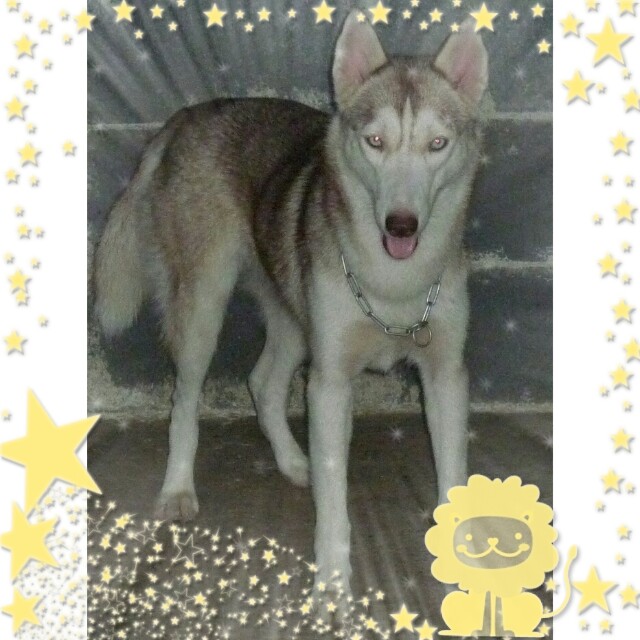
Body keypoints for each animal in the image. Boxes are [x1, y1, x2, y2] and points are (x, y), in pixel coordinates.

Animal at [95, 11, 488, 593]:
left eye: (437, 143)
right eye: (375, 141)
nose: (401, 224)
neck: (393, 284)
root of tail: (190, 114)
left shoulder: (444, 376)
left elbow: (453, 475)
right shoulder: (329, 382)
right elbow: (335, 494)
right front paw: (333, 579)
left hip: (294, 318)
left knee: (263, 382)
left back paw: (292, 462)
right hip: (204, 308)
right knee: (184, 402)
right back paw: (178, 489)